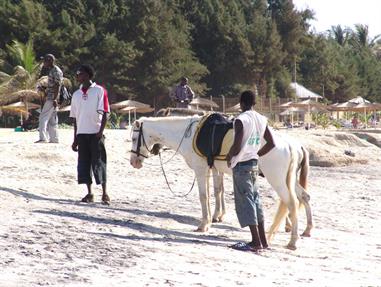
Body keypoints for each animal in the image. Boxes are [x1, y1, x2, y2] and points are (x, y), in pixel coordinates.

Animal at [129, 116, 310, 251]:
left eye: (133, 138)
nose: (133, 162)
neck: (188, 135)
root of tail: (291, 145)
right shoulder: (213, 170)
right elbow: (216, 192)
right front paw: (214, 218)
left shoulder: (201, 171)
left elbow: (204, 197)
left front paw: (204, 224)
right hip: (288, 180)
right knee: (303, 197)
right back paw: (305, 230)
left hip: (277, 180)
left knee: (292, 203)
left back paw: (293, 241)